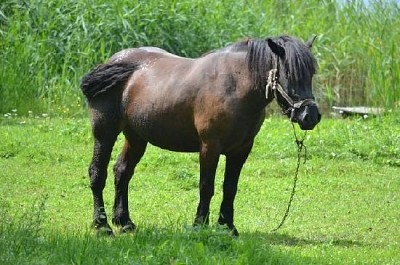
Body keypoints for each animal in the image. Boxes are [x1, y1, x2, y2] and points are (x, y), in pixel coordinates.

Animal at [80, 34, 322, 234]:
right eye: (289, 74)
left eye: (311, 74)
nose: (310, 116)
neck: (235, 86)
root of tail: (113, 63)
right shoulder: (209, 147)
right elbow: (206, 187)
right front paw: (199, 225)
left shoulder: (241, 150)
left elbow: (230, 188)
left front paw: (227, 227)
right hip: (104, 133)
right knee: (97, 173)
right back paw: (102, 225)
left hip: (137, 138)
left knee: (122, 172)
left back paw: (124, 222)